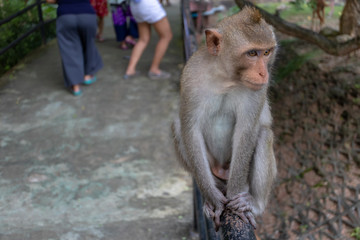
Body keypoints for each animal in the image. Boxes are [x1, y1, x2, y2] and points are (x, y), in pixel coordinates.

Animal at [173, 5, 278, 231]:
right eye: (252, 53)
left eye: (266, 52)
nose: (264, 73)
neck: (225, 79)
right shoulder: (190, 78)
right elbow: (189, 130)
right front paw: (213, 199)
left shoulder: (257, 90)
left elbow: (246, 132)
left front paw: (234, 197)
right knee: (177, 126)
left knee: (264, 135)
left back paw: (254, 203)